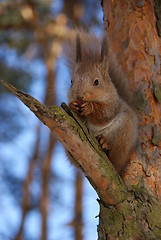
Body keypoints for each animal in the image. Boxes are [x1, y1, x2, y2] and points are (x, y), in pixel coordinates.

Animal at [63, 30, 138, 173]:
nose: (79, 96)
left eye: (96, 82)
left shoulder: (113, 104)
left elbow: (104, 115)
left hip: (124, 134)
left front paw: (90, 108)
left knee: (115, 160)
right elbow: (76, 118)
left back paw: (105, 144)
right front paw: (72, 106)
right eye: (71, 81)